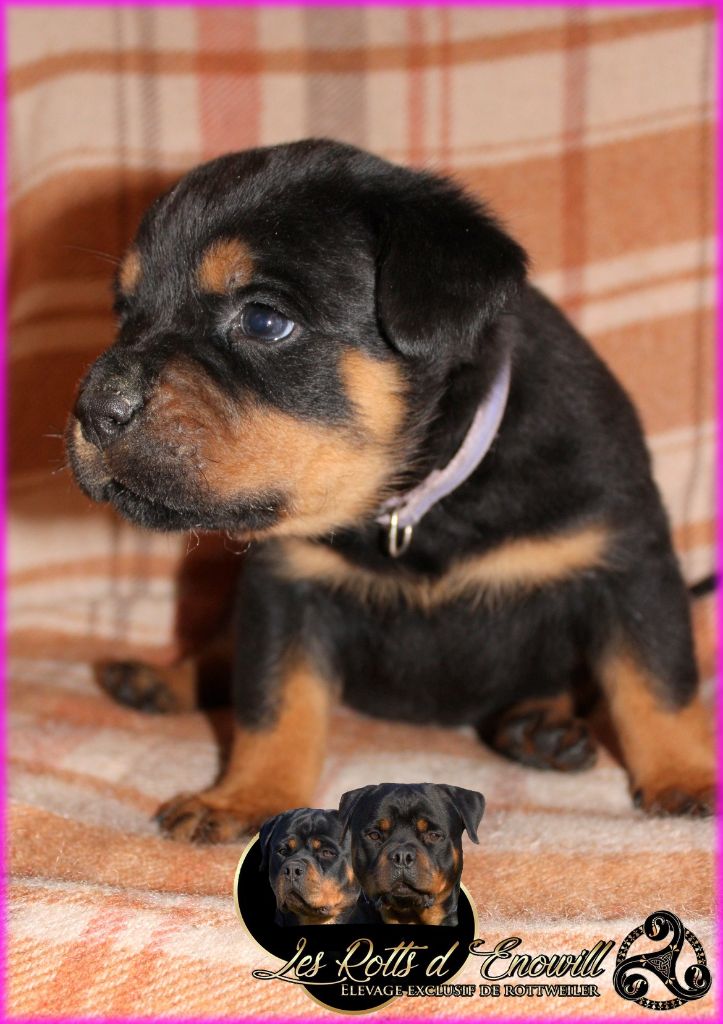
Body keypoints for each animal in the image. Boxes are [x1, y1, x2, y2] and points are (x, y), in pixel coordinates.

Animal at [66, 138, 715, 842]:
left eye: (264, 320)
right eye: (124, 313)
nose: (94, 408)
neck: (418, 502)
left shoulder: (629, 561)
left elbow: (659, 682)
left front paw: (685, 777)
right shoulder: (284, 584)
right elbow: (273, 701)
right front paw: (246, 797)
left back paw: (540, 726)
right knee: (218, 653)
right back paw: (158, 681)